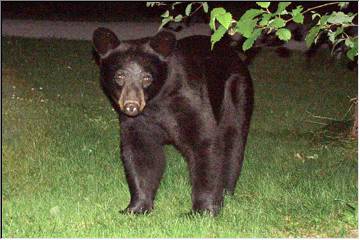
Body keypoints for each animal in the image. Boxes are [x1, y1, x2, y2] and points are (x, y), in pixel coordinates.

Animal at [93, 28, 253, 216]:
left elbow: (205, 143)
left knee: (233, 140)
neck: (157, 101)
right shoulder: (140, 121)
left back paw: (226, 191)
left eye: (147, 78)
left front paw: (202, 210)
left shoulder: (190, 100)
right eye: (120, 76)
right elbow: (141, 153)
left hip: (237, 91)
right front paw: (136, 207)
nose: (131, 106)